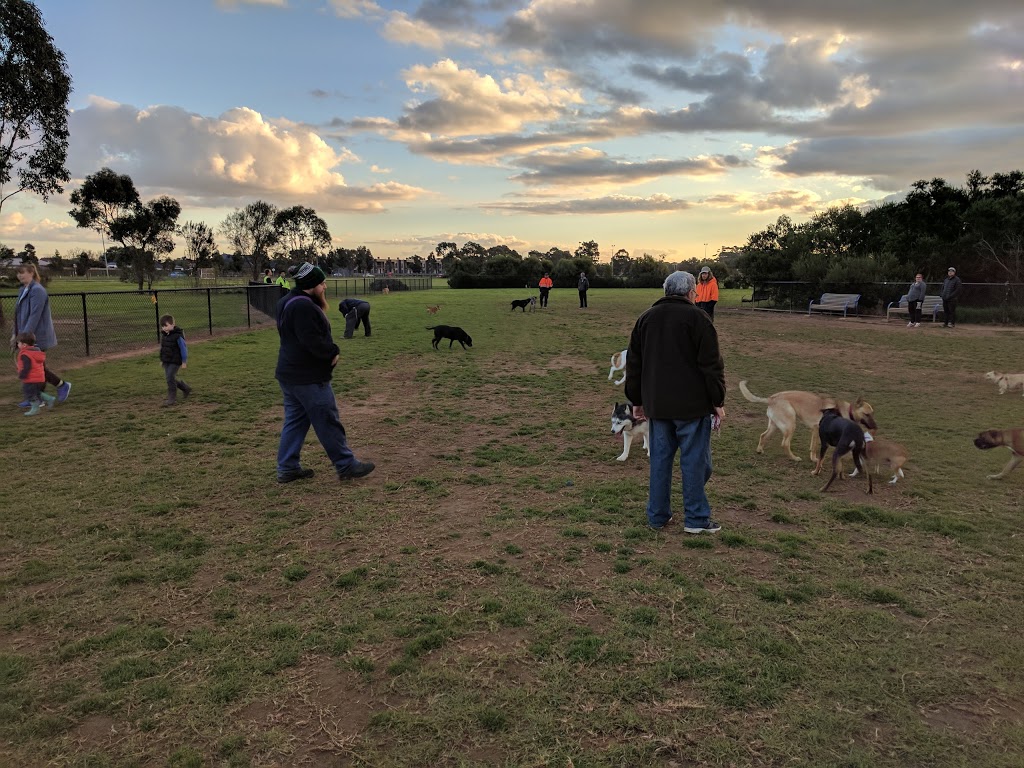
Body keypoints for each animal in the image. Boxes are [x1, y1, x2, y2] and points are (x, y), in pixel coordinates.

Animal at [741, 380, 876, 462]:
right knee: (785, 444)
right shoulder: (817, 430)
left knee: (763, 436)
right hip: (791, 425)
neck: (847, 411)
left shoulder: (814, 431)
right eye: (867, 414)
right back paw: (794, 458)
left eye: (872, 413)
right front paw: (815, 459)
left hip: (774, 426)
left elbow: (812, 446)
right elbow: (815, 447)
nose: (875, 426)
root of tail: (771, 398)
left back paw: (760, 450)